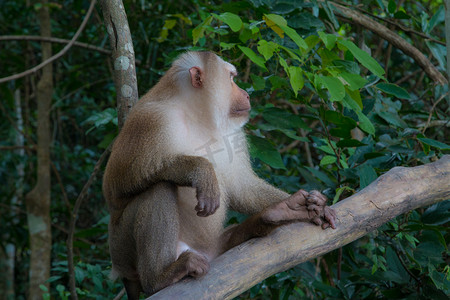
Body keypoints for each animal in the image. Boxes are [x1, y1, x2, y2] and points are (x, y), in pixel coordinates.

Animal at [102, 51, 334, 300]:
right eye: (231, 77)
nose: (246, 94)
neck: (196, 116)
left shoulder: (233, 133)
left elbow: (242, 188)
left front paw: (312, 205)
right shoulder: (150, 121)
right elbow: (117, 185)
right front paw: (202, 170)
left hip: (214, 250)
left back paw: (276, 214)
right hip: (121, 249)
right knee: (159, 188)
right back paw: (160, 278)